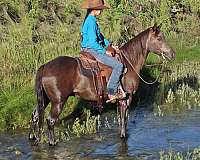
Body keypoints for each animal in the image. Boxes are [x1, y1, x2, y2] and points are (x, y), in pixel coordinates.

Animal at [28, 23, 175, 145]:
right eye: (159, 38)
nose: (172, 54)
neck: (129, 63)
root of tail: (45, 66)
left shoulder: (122, 100)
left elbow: (123, 118)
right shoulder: (126, 98)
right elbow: (124, 118)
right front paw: (123, 136)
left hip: (45, 99)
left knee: (35, 115)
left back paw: (33, 137)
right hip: (58, 101)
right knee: (50, 120)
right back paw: (52, 143)